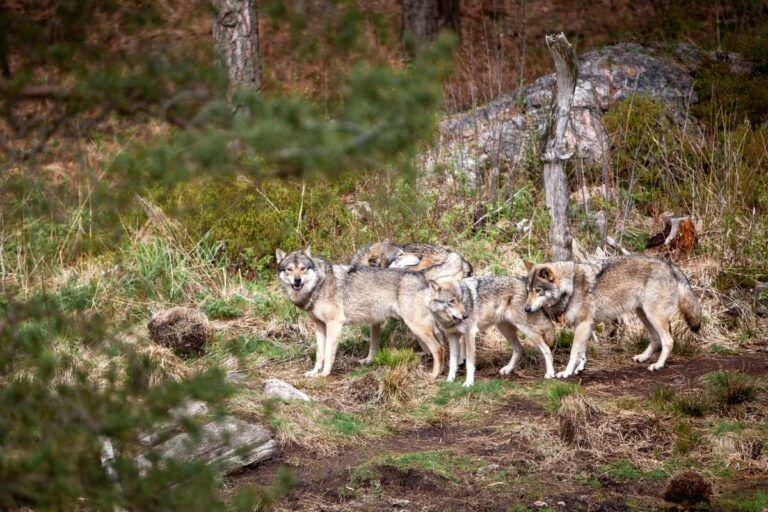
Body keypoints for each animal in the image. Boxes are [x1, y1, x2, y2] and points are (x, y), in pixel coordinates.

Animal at [275, 247, 465, 379]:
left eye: (302, 268)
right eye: (290, 269)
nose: (297, 281)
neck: (318, 285)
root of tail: (420, 274)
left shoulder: (335, 325)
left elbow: (329, 354)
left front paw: (324, 374)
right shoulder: (320, 327)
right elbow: (319, 354)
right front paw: (314, 372)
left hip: (417, 327)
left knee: (439, 348)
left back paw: (434, 375)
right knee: (442, 345)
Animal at [428, 275, 557, 387]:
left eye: (460, 299)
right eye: (451, 301)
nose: (465, 316)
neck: (448, 321)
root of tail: (525, 281)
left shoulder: (470, 335)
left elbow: (469, 363)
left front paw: (469, 382)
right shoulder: (452, 336)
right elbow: (452, 362)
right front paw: (450, 380)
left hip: (524, 328)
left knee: (546, 349)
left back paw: (550, 373)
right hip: (504, 329)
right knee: (519, 349)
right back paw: (508, 369)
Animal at [524, 256, 701, 378]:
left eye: (538, 290)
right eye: (528, 291)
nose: (526, 309)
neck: (570, 286)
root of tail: (670, 265)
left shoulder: (583, 324)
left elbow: (574, 352)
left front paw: (567, 372)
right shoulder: (586, 326)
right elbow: (582, 351)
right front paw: (580, 368)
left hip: (653, 316)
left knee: (668, 341)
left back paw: (657, 365)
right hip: (643, 314)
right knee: (656, 339)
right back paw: (643, 357)